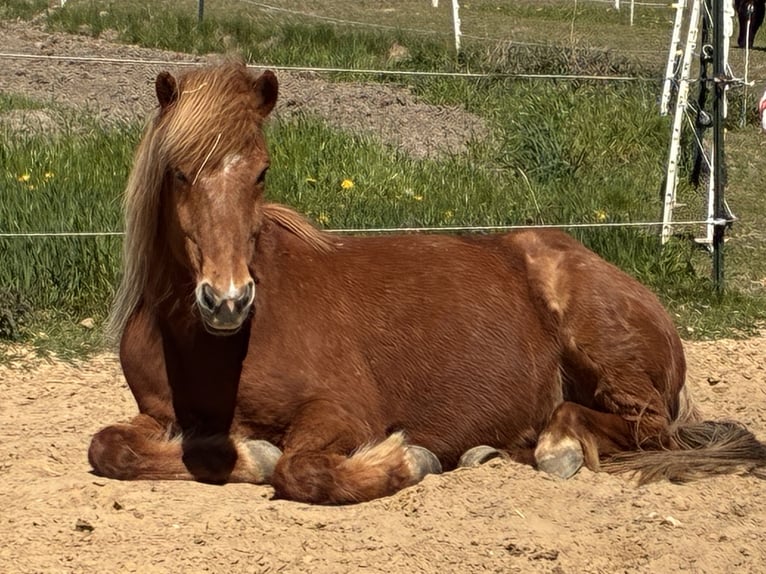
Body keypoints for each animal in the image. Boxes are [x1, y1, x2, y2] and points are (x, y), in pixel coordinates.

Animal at [88, 61, 766, 504]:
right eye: (179, 173)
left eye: (261, 172)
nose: (227, 300)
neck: (214, 348)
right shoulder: (156, 413)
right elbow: (108, 446)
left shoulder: (342, 411)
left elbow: (299, 470)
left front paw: (404, 460)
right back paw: (492, 450)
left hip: (604, 352)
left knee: (645, 426)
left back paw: (558, 445)